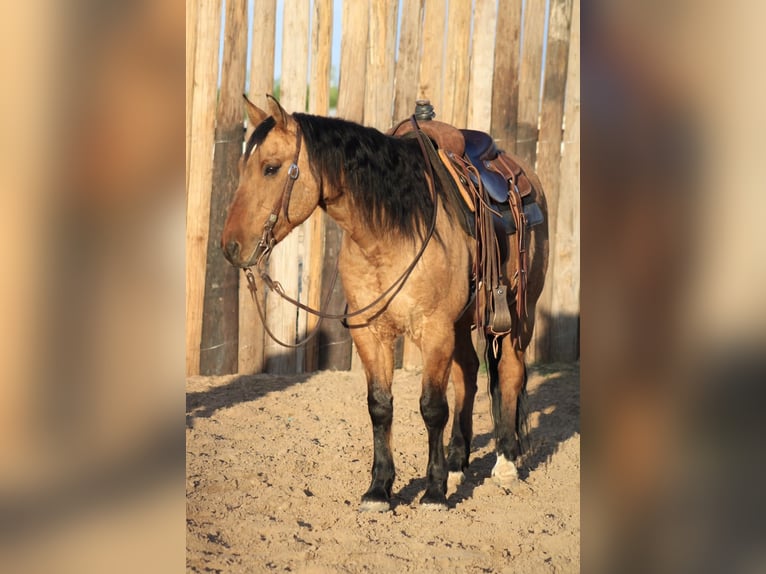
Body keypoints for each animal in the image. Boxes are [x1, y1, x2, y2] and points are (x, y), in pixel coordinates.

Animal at [222, 95, 552, 512]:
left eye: (270, 168)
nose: (230, 247)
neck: (389, 232)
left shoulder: (434, 329)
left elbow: (432, 407)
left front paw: (434, 491)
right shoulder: (371, 333)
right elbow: (379, 405)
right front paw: (379, 488)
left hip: (517, 314)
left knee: (509, 373)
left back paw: (506, 463)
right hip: (463, 322)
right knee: (467, 377)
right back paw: (458, 463)